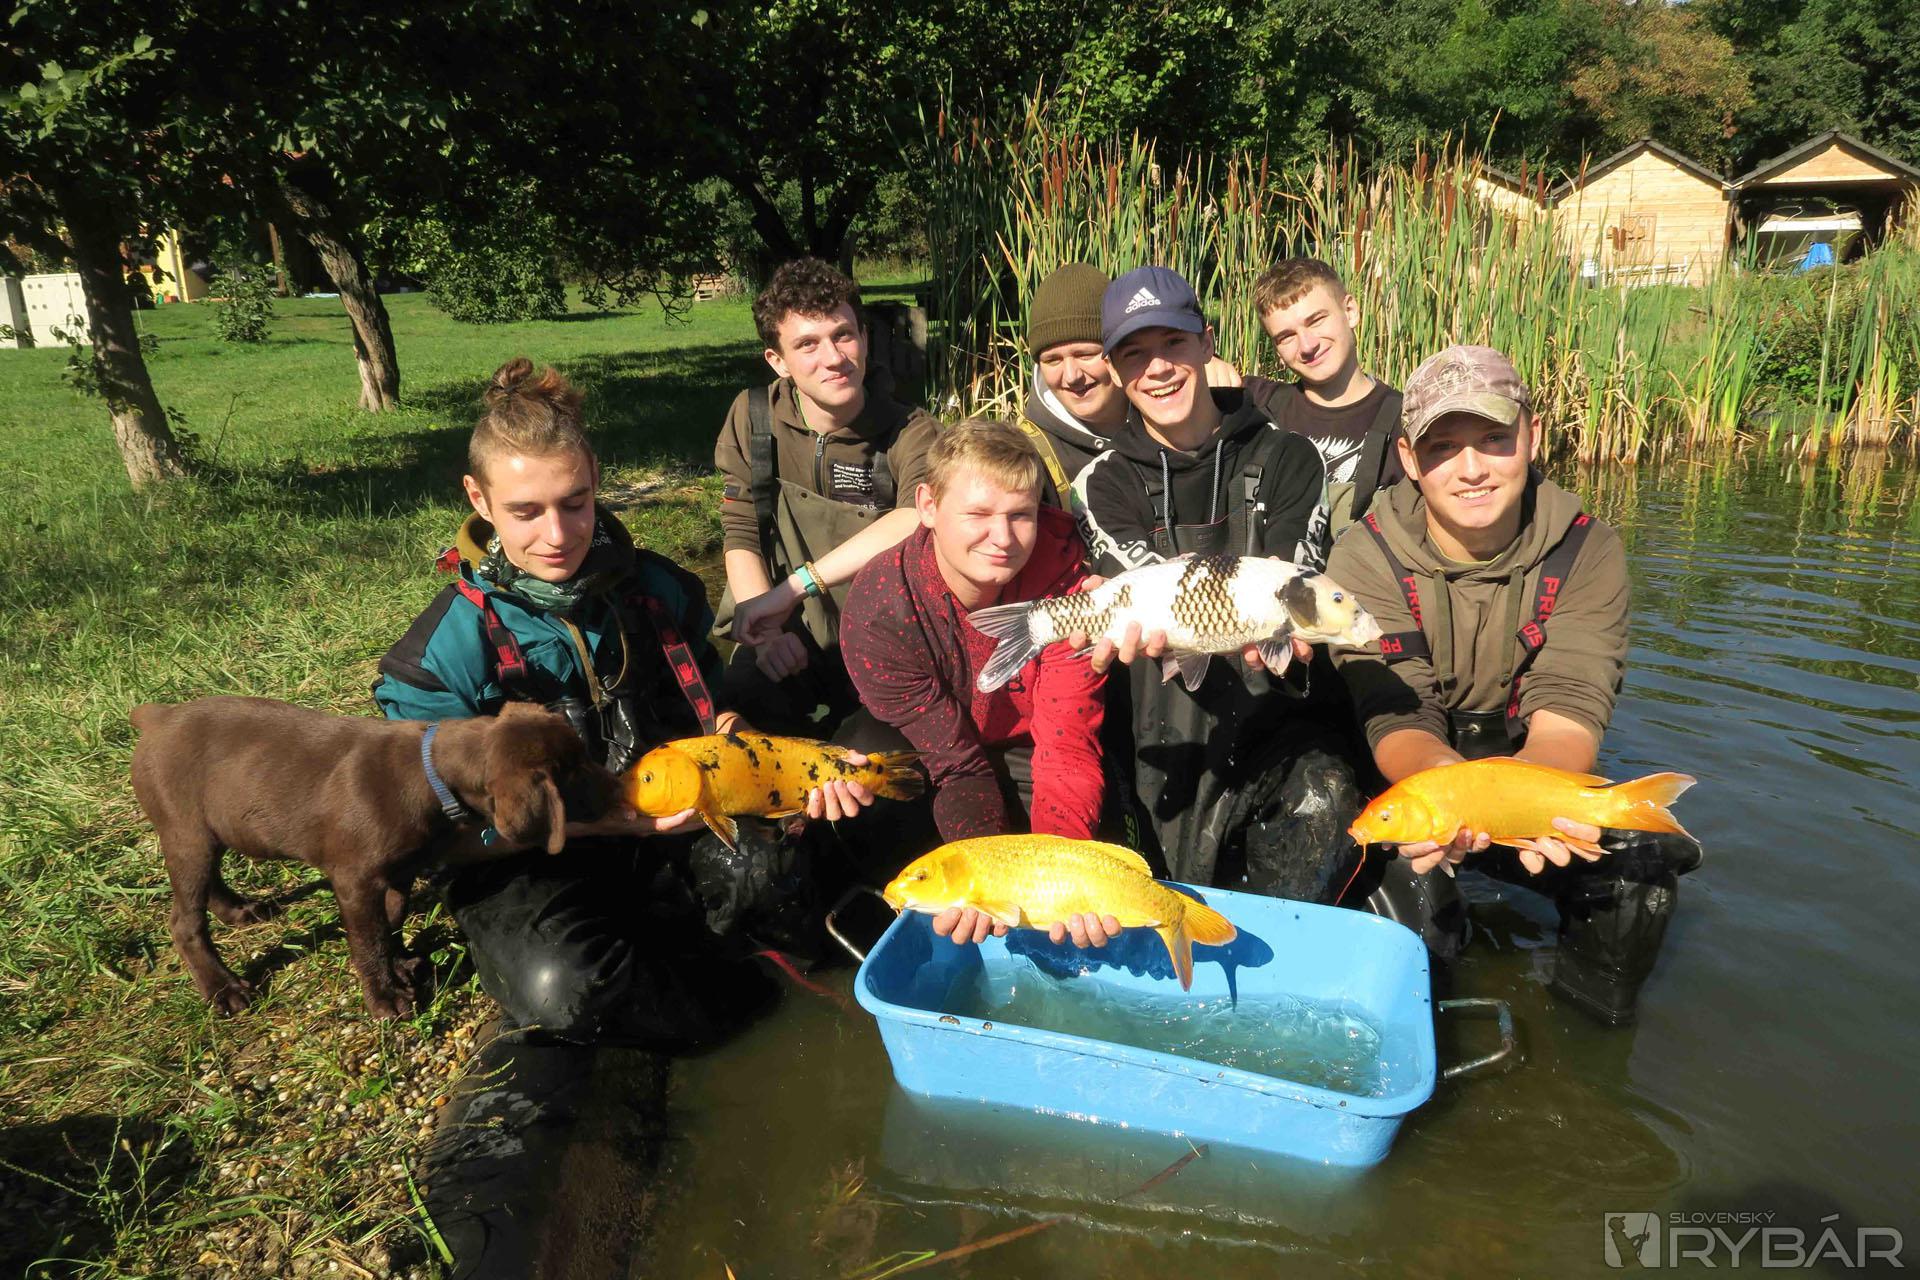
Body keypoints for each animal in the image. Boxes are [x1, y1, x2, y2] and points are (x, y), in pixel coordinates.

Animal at [130, 696, 622, 1018]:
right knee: (184, 921)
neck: (431, 777)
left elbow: (392, 918)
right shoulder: (354, 880)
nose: (621, 785)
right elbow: (367, 940)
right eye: (578, 772)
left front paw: (401, 965)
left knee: (207, 885)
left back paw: (238, 911)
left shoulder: (400, 870)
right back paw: (222, 988)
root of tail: (157, 717)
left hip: (210, 830)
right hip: (186, 832)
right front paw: (384, 997)